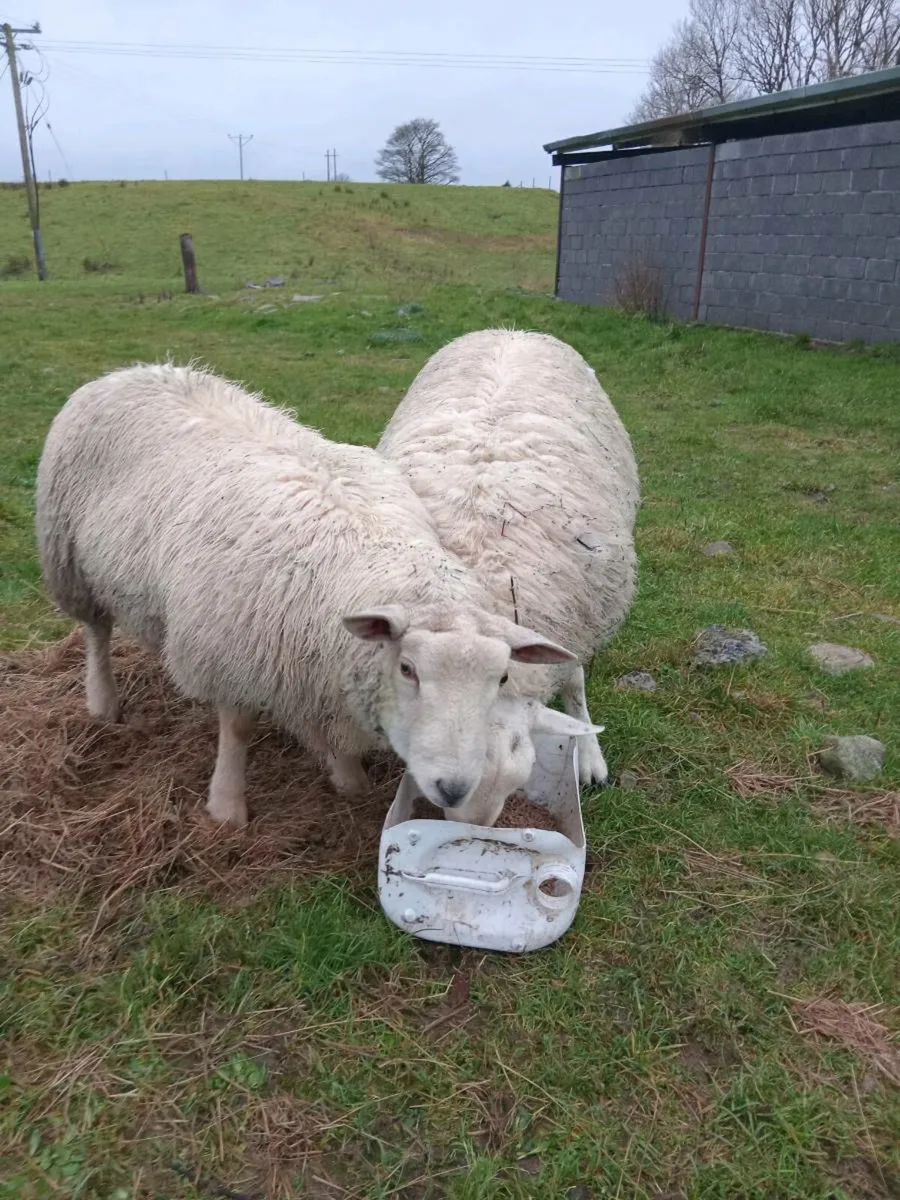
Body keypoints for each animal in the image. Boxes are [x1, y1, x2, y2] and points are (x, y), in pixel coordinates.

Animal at [35, 362, 600, 829]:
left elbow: (329, 729)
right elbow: (237, 730)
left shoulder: (312, 666)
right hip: (68, 559)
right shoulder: (232, 654)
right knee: (96, 631)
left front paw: (347, 777)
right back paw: (103, 700)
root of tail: (130, 370)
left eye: (500, 678)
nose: (455, 788)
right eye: (407, 669)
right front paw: (227, 806)